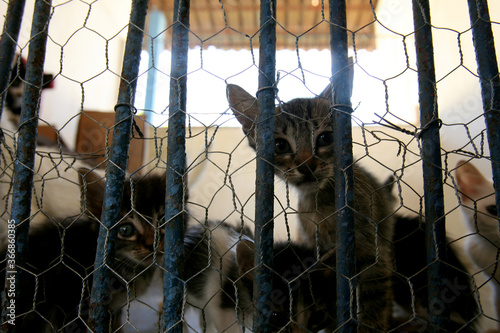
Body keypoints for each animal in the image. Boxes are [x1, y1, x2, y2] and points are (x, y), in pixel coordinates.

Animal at [227, 81, 394, 332]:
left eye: (325, 138)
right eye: (280, 145)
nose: (306, 165)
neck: (320, 203)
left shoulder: (373, 254)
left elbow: (373, 304)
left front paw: (368, 326)